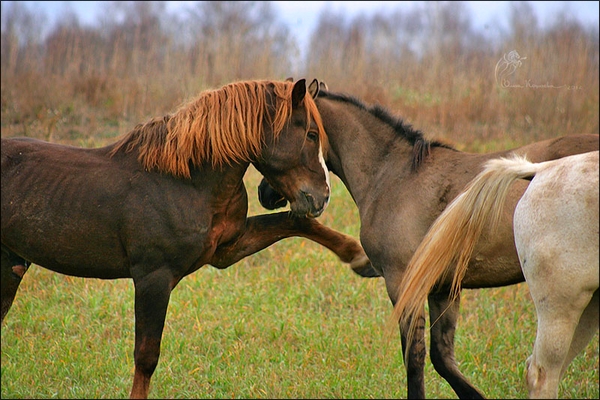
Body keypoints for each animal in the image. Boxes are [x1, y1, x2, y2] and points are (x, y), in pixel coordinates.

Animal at [1, 79, 370, 400]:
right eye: (310, 133)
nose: (321, 196)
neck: (186, 180)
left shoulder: (226, 250)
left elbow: (297, 224)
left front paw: (358, 256)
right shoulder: (153, 278)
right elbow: (146, 357)